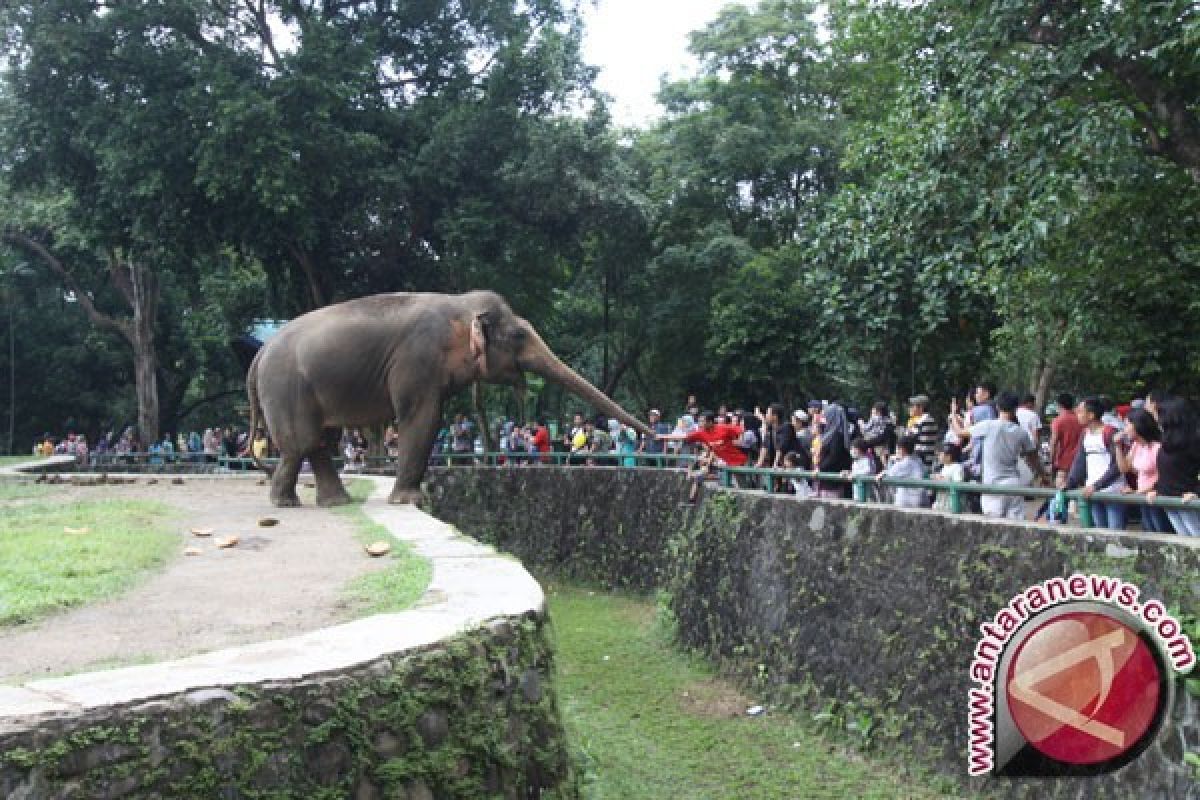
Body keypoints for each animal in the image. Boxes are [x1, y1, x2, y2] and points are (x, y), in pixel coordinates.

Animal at [246, 292, 657, 506]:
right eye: (520, 335)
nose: (655, 437)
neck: (459, 305)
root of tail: (258, 355)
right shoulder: (417, 359)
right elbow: (422, 418)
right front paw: (412, 500)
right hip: (286, 387)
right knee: (302, 443)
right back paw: (285, 504)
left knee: (318, 442)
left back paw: (334, 502)